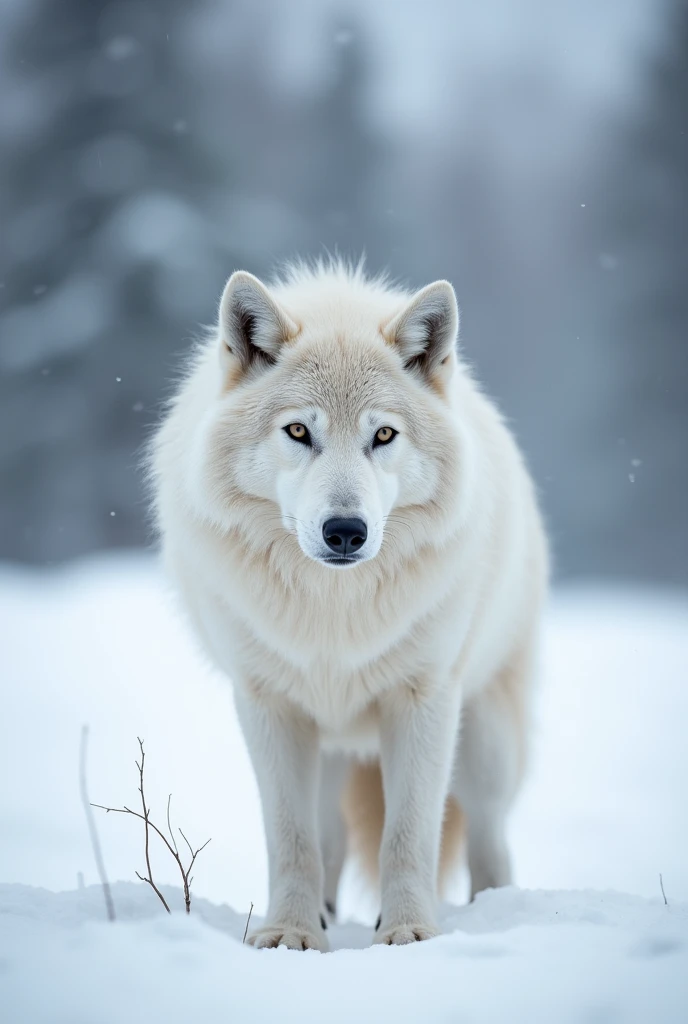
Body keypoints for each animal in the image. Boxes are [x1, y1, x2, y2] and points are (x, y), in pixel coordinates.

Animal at [150, 260, 548, 946]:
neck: (333, 616)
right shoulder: (269, 706)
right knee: (330, 837)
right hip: (330, 749)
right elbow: (291, 838)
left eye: (383, 435)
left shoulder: (424, 700)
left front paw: (409, 932)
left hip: (484, 744)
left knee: (489, 840)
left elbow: (408, 835)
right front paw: (289, 934)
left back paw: (490, 911)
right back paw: (324, 918)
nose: (345, 532)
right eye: (298, 431)